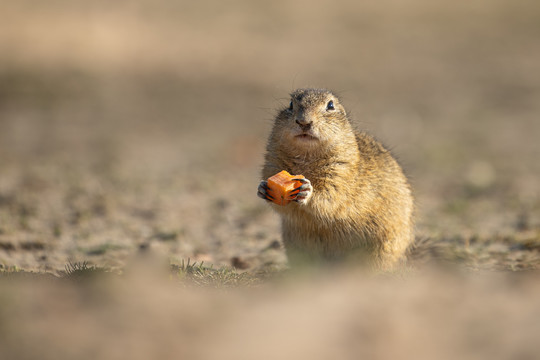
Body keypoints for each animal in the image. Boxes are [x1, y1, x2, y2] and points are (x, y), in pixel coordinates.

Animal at [258, 88, 414, 270]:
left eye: (330, 105)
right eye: (290, 104)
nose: (304, 122)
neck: (306, 156)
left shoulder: (340, 174)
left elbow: (331, 197)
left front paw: (307, 191)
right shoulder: (272, 165)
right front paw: (262, 188)